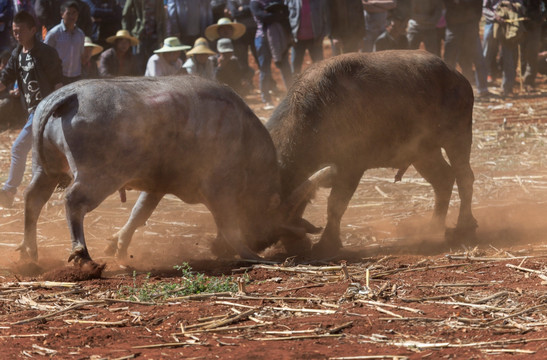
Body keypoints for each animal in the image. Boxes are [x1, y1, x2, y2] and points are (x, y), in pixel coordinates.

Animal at [20, 74, 330, 262]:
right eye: (274, 223)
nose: (263, 243)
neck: (241, 134)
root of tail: (70, 95)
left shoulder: (157, 186)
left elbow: (139, 214)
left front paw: (119, 244)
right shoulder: (219, 189)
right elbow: (228, 223)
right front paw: (247, 253)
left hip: (46, 171)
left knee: (33, 199)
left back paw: (30, 253)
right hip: (98, 178)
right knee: (73, 201)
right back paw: (81, 253)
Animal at [266, 50, 480, 256]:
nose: (294, 245)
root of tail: (457, 77)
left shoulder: (351, 168)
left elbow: (335, 205)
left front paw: (327, 243)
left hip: (458, 137)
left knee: (464, 177)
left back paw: (464, 226)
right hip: (423, 152)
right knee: (443, 179)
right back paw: (433, 228)